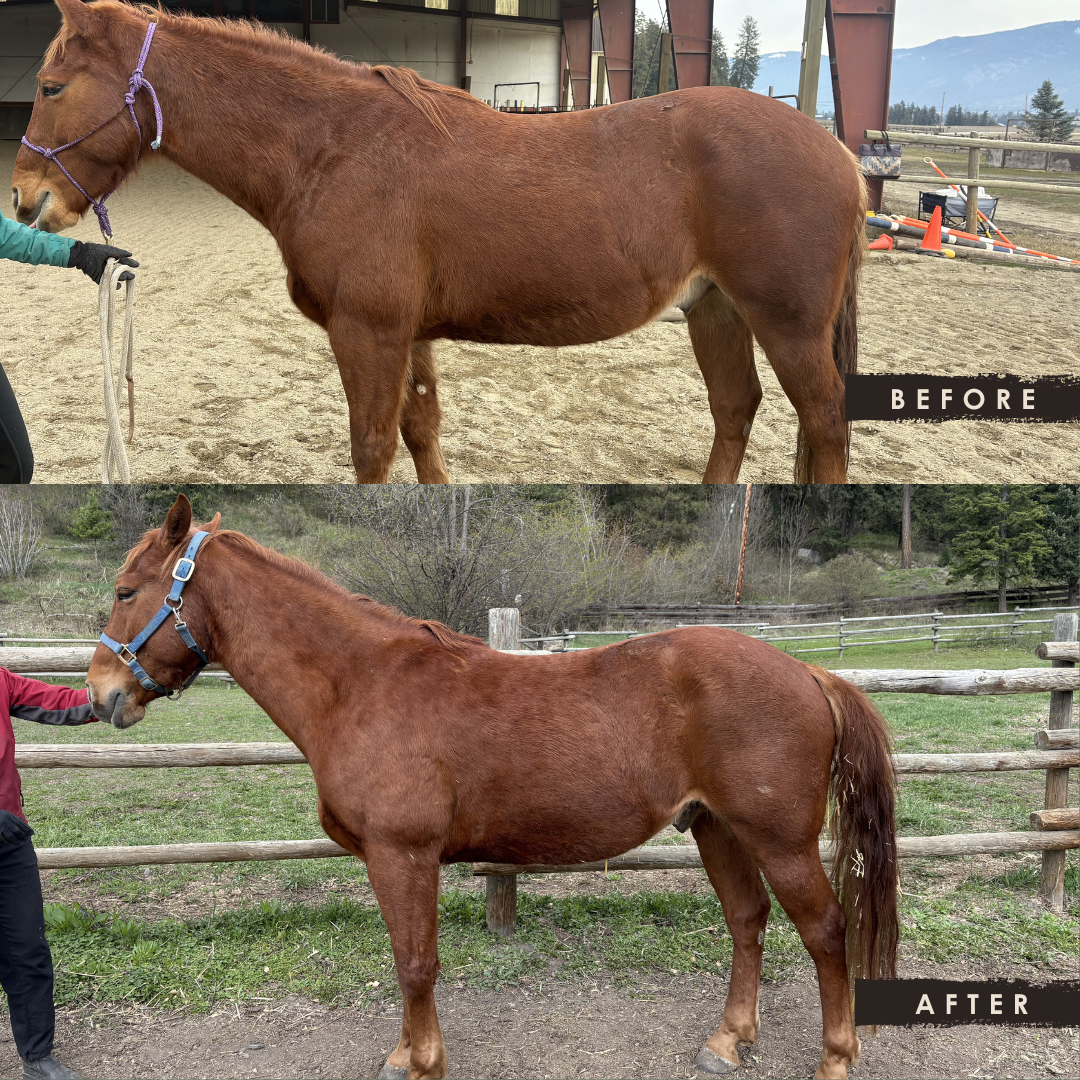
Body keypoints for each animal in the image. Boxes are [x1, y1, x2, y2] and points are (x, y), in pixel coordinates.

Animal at [14, 0, 866, 484]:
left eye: (52, 87)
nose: (26, 198)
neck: (332, 148)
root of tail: (838, 153)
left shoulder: (368, 332)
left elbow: (372, 449)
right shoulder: (409, 334)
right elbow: (421, 435)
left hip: (785, 324)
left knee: (824, 422)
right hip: (715, 309)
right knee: (736, 409)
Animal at [86, 494, 898, 1079]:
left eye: (127, 590)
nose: (100, 694)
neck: (360, 685)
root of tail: (807, 672)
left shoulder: (402, 855)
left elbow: (415, 963)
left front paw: (420, 1063)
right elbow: (408, 959)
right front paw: (408, 1054)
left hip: (779, 839)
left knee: (824, 930)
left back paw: (835, 1058)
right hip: (715, 827)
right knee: (747, 921)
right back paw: (728, 1042)